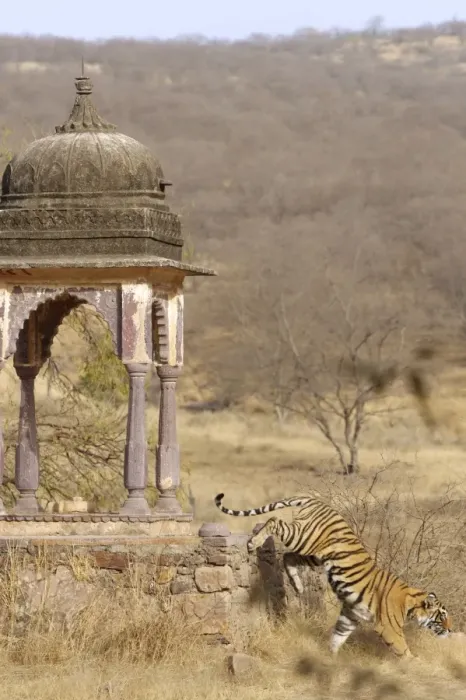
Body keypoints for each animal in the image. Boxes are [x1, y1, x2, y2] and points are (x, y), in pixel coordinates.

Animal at [215, 492, 451, 657]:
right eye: (442, 616)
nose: (450, 631)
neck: (411, 605)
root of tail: (317, 500)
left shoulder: (351, 613)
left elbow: (338, 635)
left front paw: (330, 658)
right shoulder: (389, 628)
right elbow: (403, 650)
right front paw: (415, 664)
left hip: (314, 554)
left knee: (288, 557)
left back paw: (297, 585)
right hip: (303, 538)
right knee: (275, 521)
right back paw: (253, 542)